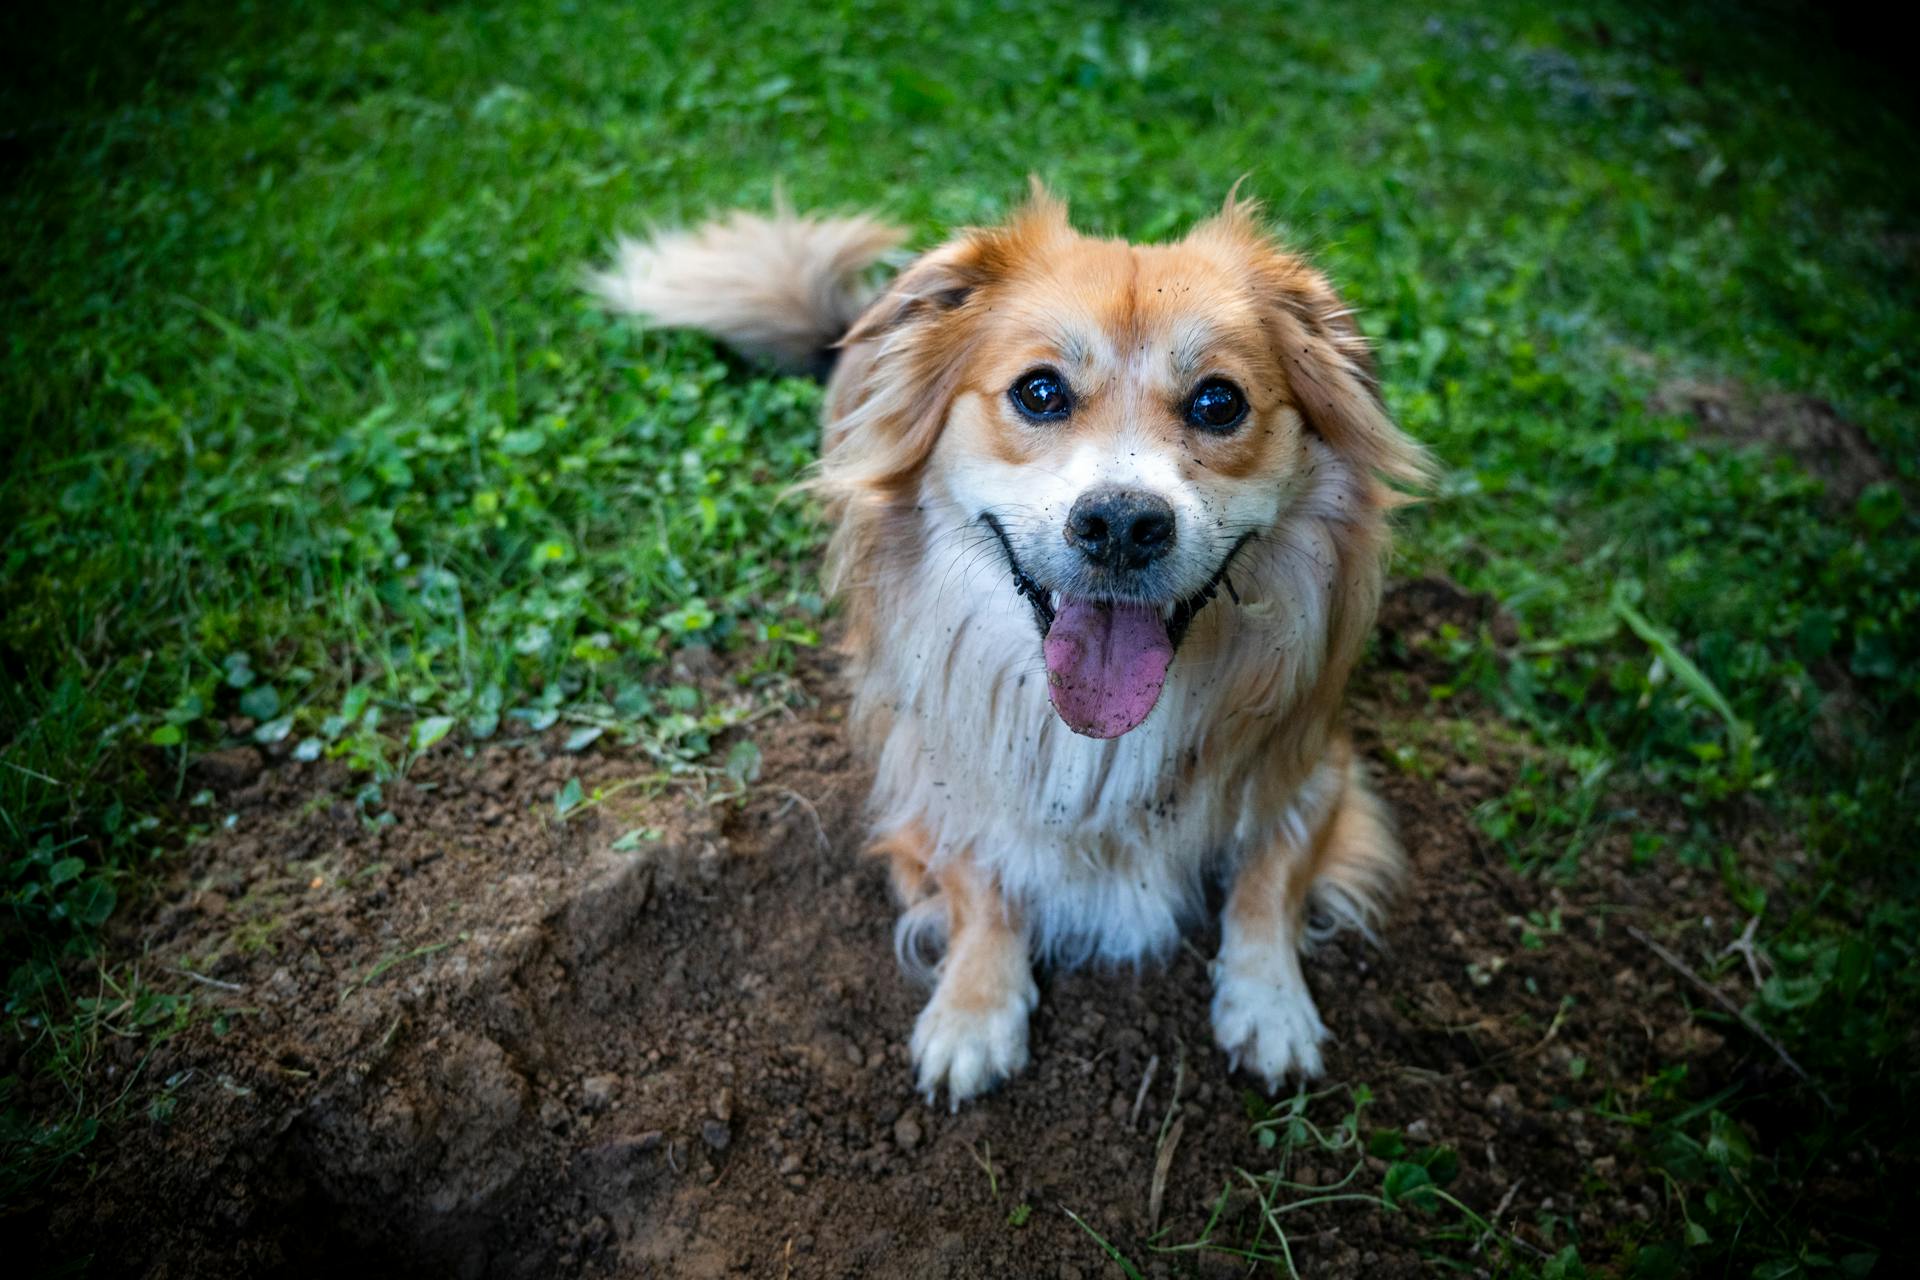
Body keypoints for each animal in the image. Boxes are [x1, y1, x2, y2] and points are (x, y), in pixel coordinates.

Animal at [591, 185, 1436, 1105]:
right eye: (1039, 392)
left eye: (1220, 403)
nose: (1121, 525)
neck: (1099, 740)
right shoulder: (930, 781)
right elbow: (982, 876)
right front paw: (974, 1010)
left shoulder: (1319, 761)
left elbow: (1269, 872)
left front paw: (1270, 1002)